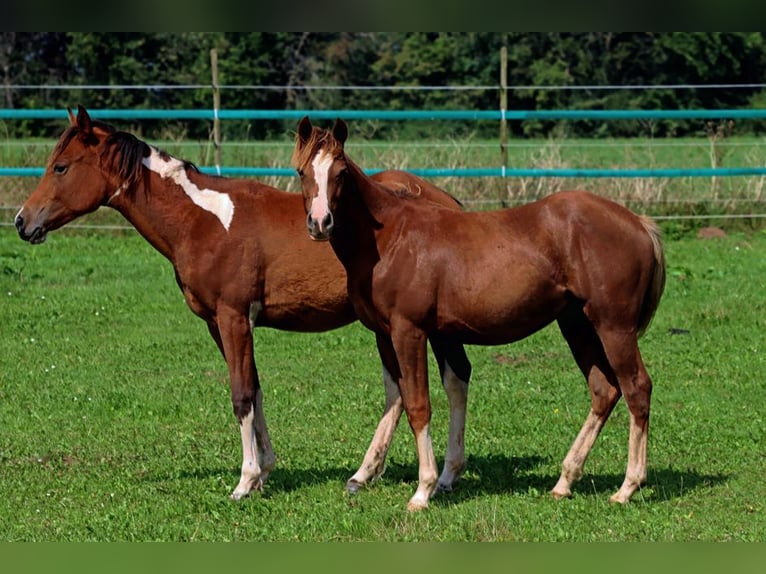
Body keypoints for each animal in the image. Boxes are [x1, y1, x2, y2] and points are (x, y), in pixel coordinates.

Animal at [16, 106, 474, 502]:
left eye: (61, 167)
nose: (23, 221)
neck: (202, 221)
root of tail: (445, 202)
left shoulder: (233, 316)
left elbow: (240, 395)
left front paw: (245, 480)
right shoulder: (218, 324)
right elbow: (254, 389)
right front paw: (265, 471)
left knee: (444, 381)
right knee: (403, 390)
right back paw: (367, 474)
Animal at [292, 117, 664, 512]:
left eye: (341, 172)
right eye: (302, 171)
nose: (320, 223)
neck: (391, 237)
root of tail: (639, 222)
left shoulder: (409, 331)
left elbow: (418, 404)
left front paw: (423, 491)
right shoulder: (401, 334)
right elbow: (414, 394)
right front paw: (434, 478)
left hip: (613, 327)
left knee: (636, 388)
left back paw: (627, 487)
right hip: (576, 325)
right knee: (604, 390)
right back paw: (565, 481)